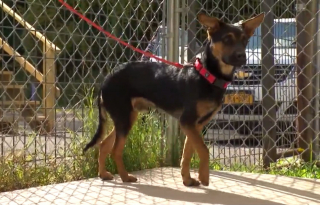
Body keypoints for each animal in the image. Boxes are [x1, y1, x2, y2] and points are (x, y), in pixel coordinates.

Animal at [83, 12, 264, 187]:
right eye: (227, 39)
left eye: (245, 40)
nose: (242, 57)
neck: (207, 76)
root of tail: (107, 78)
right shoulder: (187, 121)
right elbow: (204, 150)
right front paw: (203, 177)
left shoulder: (195, 125)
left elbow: (188, 153)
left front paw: (187, 180)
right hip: (124, 117)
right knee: (115, 150)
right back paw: (125, 177)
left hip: (126, 117)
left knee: (104, 144)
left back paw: (103, 174)